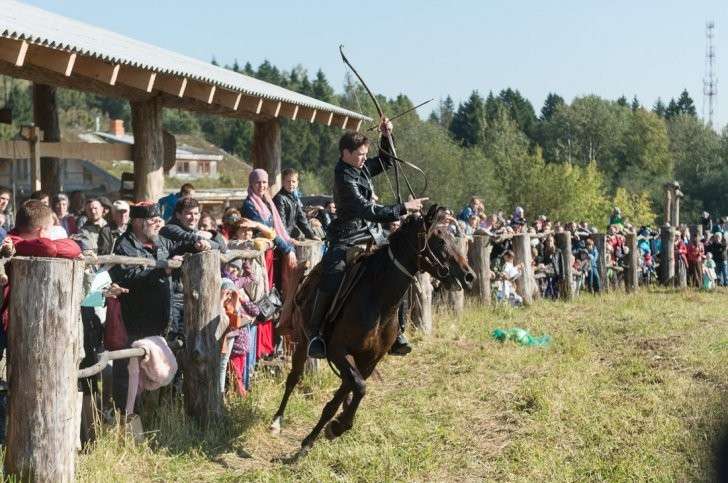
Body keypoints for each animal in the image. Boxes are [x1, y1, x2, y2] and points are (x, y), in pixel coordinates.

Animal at [270, 206, 474, 456]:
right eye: (441, 240)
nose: (468, 275)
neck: (377, 299)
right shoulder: (338, 351)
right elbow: (357, 388)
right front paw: (326, 432)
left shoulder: (369, 361)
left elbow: (351, 391)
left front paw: (332, 427)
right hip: (302, 340)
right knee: (294, 377)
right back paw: (277, 421)